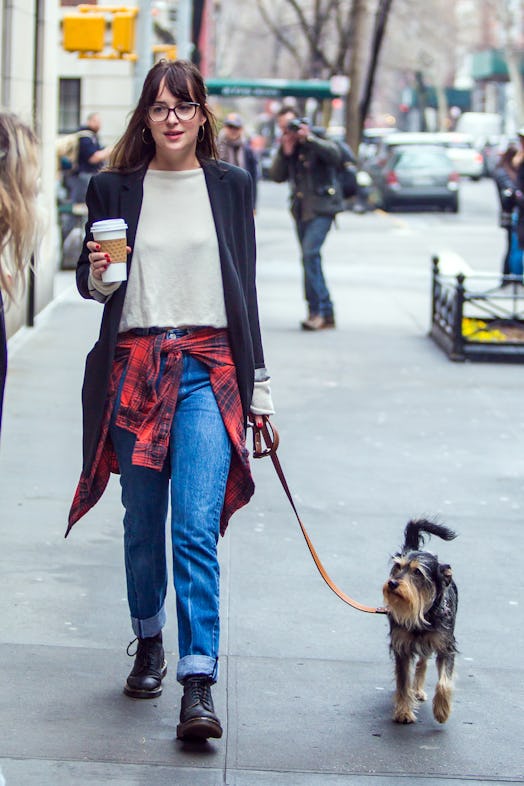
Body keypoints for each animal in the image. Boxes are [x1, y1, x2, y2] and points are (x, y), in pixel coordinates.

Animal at [380, 516, 458, 724]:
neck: (423, 613)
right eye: (397, 567)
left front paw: (441, 710)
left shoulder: (446, 646)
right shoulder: (402, 647)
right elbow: (403, 682)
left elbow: (444, 682)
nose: (392, 583)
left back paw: (419, 690)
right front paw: (404, 712)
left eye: (417, 572)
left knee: (423, 661)